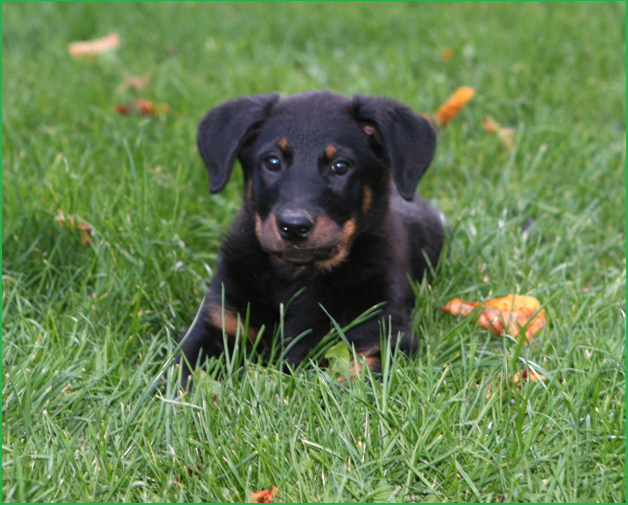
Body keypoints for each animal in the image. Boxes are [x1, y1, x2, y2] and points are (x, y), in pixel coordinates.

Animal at [174, 90, 444, 386]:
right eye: (272, 161)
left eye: (340, 166)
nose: (294, 226)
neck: (298, 277)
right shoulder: (219, 320)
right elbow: (183, 373)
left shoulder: (380, 335)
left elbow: (351, 378)